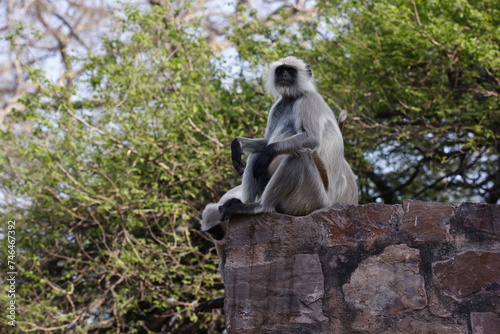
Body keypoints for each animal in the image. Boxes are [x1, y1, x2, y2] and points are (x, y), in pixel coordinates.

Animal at [223, 56, 360, 218]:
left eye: (290, 70)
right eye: (280, 70)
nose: (284, 75)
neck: (292, 98)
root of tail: (328, 204)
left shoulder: (308, 100)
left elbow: (311, 139)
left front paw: (269, 151)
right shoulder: (277, 106)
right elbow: (266, 142)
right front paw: (236, 144)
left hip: (311, 199)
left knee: (298, 156)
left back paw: (259, 206)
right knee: (257, 155)